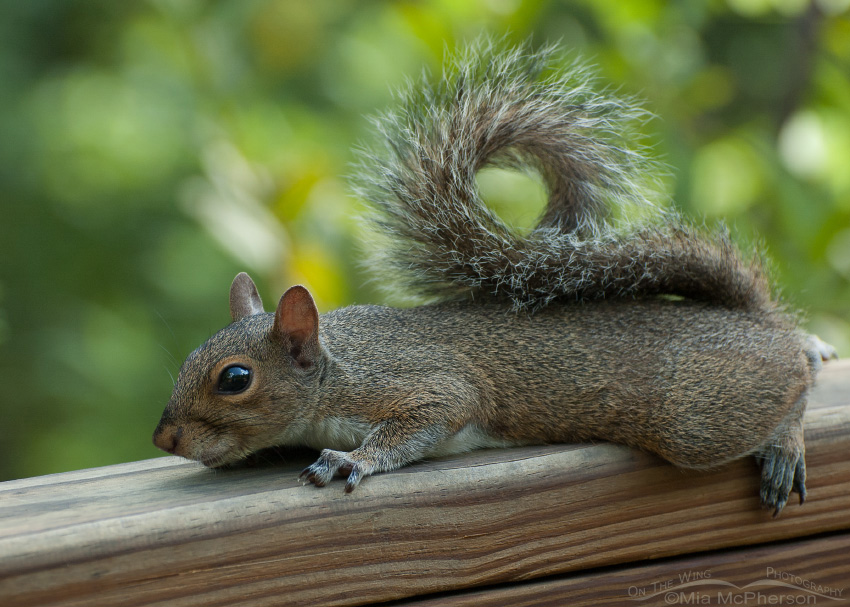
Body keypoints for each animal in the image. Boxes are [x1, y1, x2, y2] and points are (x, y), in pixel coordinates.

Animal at [152, 40, 836, 516]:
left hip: (695, 418)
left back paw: (786, 441)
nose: (164, 436)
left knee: (790, 387)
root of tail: (752, 320)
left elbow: (433, 412)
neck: (341, 364)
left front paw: (351, 460)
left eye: (235, 380)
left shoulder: (424, 384)